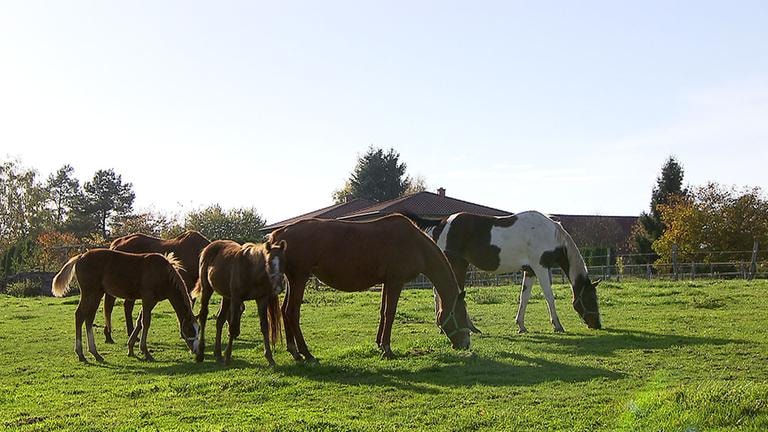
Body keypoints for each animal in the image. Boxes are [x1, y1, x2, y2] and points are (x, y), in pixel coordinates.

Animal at [52, 249, 200, 362]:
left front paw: (131, 349)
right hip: (90, 292)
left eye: (198, 330)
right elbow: (146, 322)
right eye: (189, 330)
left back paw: (94, 354)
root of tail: (80, 257)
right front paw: (145, 352)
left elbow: (139, 321)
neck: (163, 273)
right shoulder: (148, 298)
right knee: (80, 316)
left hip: (97, 293)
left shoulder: (152, 301)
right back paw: (82, 354)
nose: (196, 350)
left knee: (88, 318)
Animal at [267, 213, 475, 361]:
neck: (415, 244)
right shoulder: (396, 282)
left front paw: (379, 344)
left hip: (294, 280)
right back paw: (306, 353)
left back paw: (295, 352)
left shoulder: (387, 282)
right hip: (300, 278)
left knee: (285, 311)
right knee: (292, 312)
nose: (466, 344)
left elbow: (383, 312)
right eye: (461, 315)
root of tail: (281, 233)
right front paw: (388, 349)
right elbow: (390, 313)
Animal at [405, 211, 602, 332]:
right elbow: (549, 297)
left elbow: (524, 297)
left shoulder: (530, 271)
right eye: (590, 299)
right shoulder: (541, 267)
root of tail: (442, 222)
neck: (551, 234)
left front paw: (521, 326)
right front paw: (557, 325)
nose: (597, 324)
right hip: (457, 264)